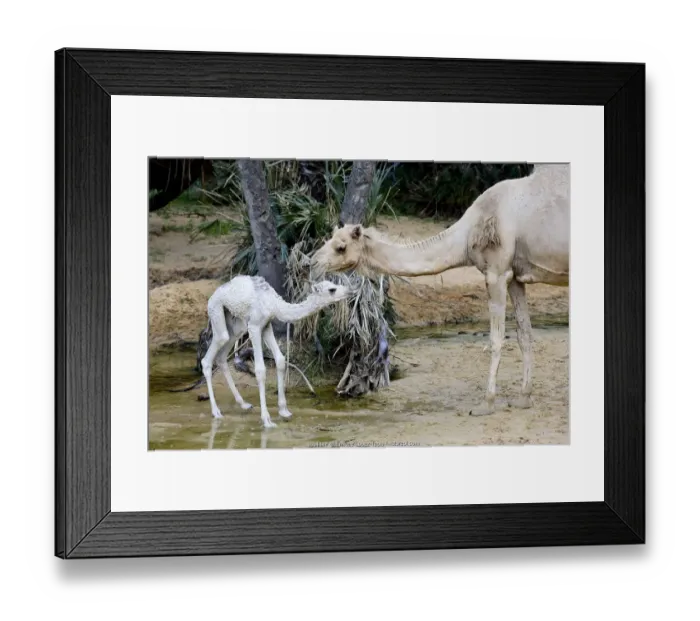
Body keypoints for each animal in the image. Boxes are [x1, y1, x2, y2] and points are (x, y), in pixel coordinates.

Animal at [201, 275, 351, 428]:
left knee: (221, 357)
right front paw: (267, 420)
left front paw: (284, 411)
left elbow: (280, 360)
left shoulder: (267, 325)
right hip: (217, 310)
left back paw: (244, 404)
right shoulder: (254, 326)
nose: (349, 291)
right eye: (332, 289)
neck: (273, 304)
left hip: (237, 324)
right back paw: (216, 412)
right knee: (209, 356)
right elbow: (260, 369)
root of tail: (213, 295)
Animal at [310, 164, 569, 416]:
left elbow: (496, 338)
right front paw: (524, 399)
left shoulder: (496, 272)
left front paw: (485, 404)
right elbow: (525, 334)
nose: (312, 261)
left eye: (341, 247)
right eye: (329, 239)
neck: (467, 234)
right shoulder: (515, 275)